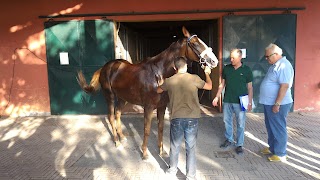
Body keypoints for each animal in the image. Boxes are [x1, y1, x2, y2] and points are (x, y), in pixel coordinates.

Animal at [76, 26, 219, 159]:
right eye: (194, 43)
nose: (214, 61)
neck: (159, 74)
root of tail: (106, 67)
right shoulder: (149, 107)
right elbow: (147, 129)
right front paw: (145, 153)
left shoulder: (162, 106)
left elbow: (160, 128)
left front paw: (162, 151)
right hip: (109, 96)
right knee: (111, 116)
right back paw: (117, 142)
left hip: (123, 98)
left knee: (117, 114)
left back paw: (122, 137)